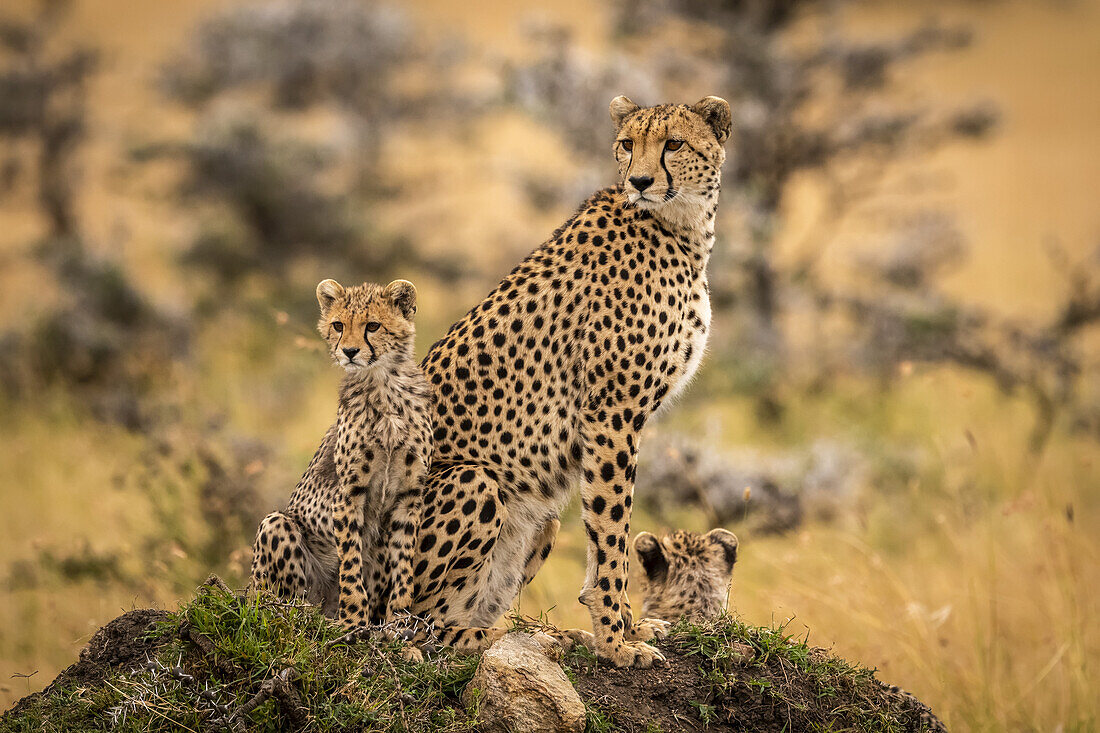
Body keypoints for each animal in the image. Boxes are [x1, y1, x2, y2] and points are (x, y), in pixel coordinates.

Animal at [404, 94, 730, 664]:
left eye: (674, 143)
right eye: (627, 144)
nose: (640, 180)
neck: (681, 226)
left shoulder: (612, 420)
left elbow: (605, 534)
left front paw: (625, 628)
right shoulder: (611, 413)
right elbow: (612, 526)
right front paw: (616, 643)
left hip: (541, 518)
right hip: (474, 480)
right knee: (419, 623)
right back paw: (514, 638)